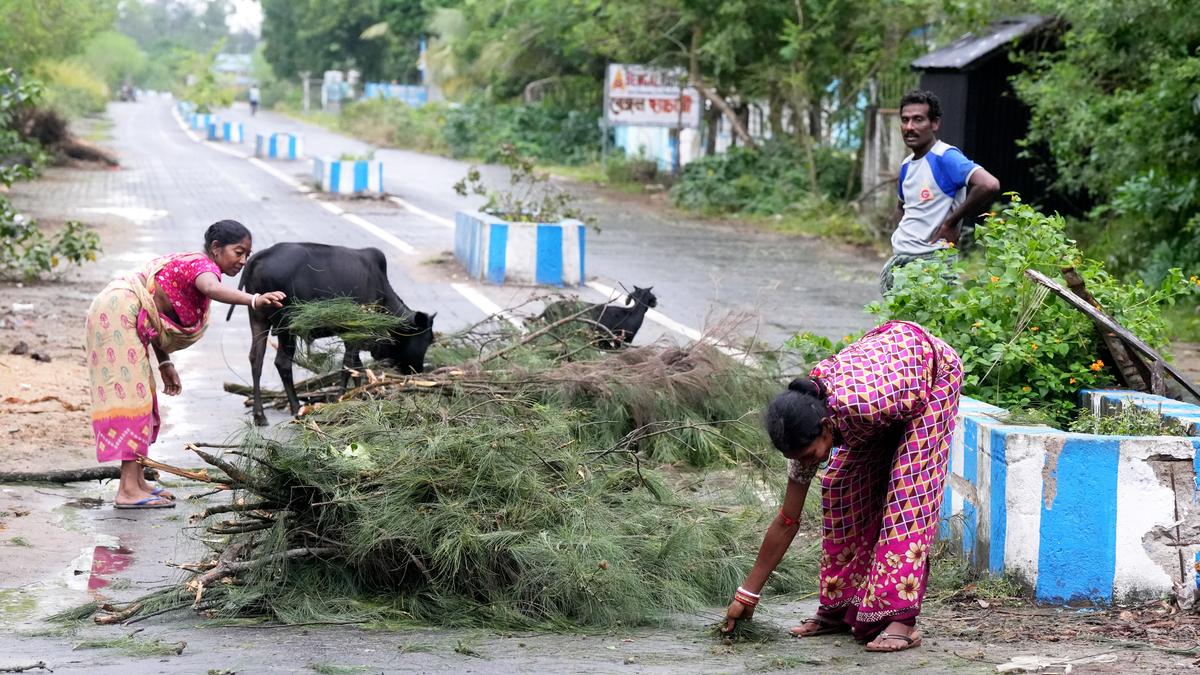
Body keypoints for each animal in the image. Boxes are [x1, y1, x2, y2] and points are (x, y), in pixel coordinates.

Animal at [226, 239, 434, 422]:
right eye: (427, 339)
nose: (418, 370)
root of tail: (260, 256)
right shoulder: (354, 333)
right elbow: (348, 366)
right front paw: (342, 398)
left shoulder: (351, 337)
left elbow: (357, 366)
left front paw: (359, 395)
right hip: (286, 325)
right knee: (282, 363)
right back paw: (296, 407)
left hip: (258, 318)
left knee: (256, 359)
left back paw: (259, 415)